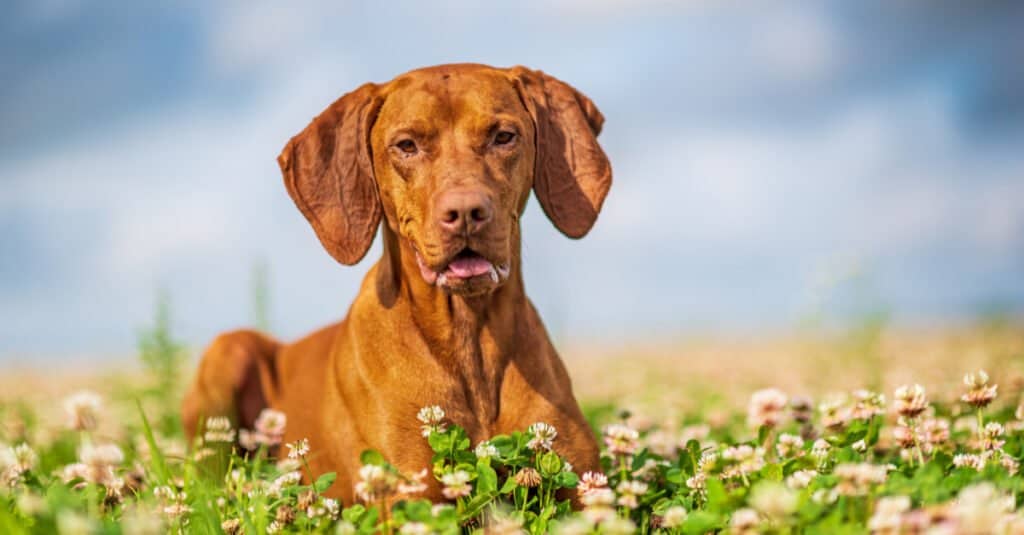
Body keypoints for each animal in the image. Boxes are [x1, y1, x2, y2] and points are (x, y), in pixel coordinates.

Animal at [181, 64, 610, 502]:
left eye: (503, 136)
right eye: (406, 145)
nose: (466, 212)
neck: (470, 339)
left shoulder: (586, 486)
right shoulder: (410, 491)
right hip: (229, 349)